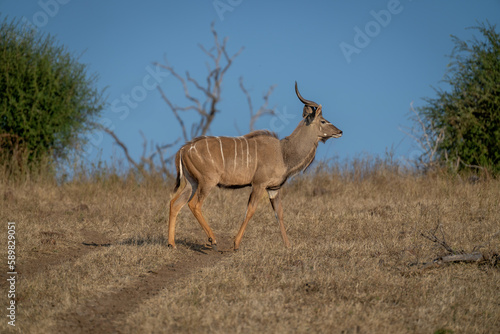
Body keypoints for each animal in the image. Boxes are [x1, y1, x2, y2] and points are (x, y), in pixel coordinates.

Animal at [170, 82, 342, 250]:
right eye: (323, 121)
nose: (340, 131)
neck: (283, 153)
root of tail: (184, 149)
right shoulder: (259, 184)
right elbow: (250, 210)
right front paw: (236, 244)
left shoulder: (273, 189)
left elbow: (279, 213)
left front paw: (288, 246)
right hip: (207, 182)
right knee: (194, 204)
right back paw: (212, 239)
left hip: (192, 183)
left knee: (175, 204)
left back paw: (171, 243)